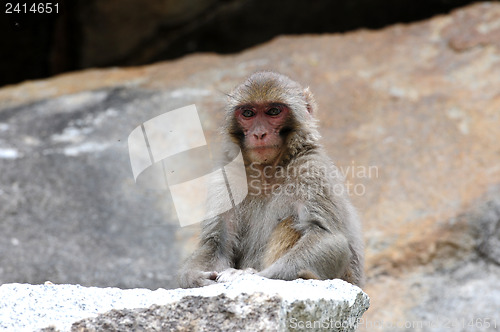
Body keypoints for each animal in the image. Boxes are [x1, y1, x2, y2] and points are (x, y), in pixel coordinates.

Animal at [178, 70, 366, 288]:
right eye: (248, 113)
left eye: (274, 111)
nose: (259, 133)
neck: (267, 171)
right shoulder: (226, 176)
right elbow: (216, 243)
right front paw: (194, 278)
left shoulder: (312, 169)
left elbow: (327, 236)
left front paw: (251, 276)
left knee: (291, 223)